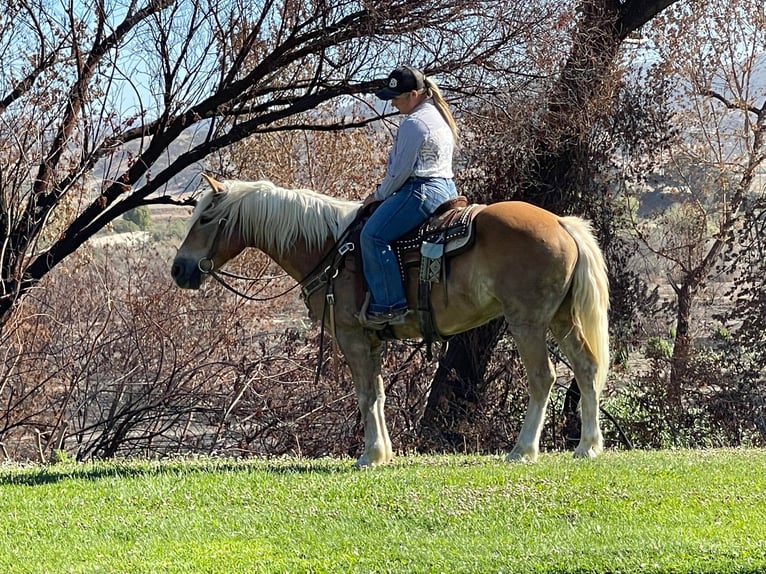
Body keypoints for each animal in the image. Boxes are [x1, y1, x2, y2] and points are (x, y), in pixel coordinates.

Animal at [172, 174, 612, 468]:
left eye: (206, 218)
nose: (180, 270)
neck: (331, 247)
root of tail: (561, 223)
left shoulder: (351, 336)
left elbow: (366, 394)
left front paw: (370, 455)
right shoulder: (372, 340)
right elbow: (379, 394)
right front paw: (382, 452)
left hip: (527, 322)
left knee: (543, 377)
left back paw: (523, 450)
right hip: (560, 319)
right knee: (587, 368)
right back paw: (588, 445)